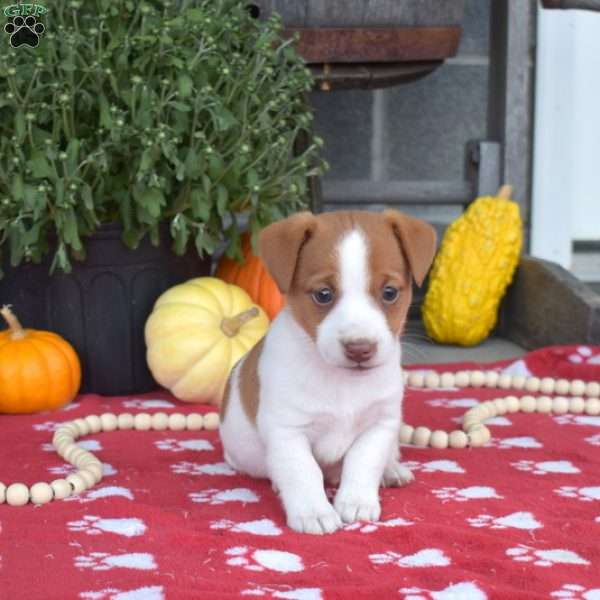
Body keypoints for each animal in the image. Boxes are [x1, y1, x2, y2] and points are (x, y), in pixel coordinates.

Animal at [220, 211, 436, 536]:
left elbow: (364, 462)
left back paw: (392, 470)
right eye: (323, 294)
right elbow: (303, 470)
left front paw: (357, 500)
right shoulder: (288, 431)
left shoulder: (380, 425)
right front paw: (313, 511)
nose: (360, 348)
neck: (342, 382)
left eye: (389, 293)